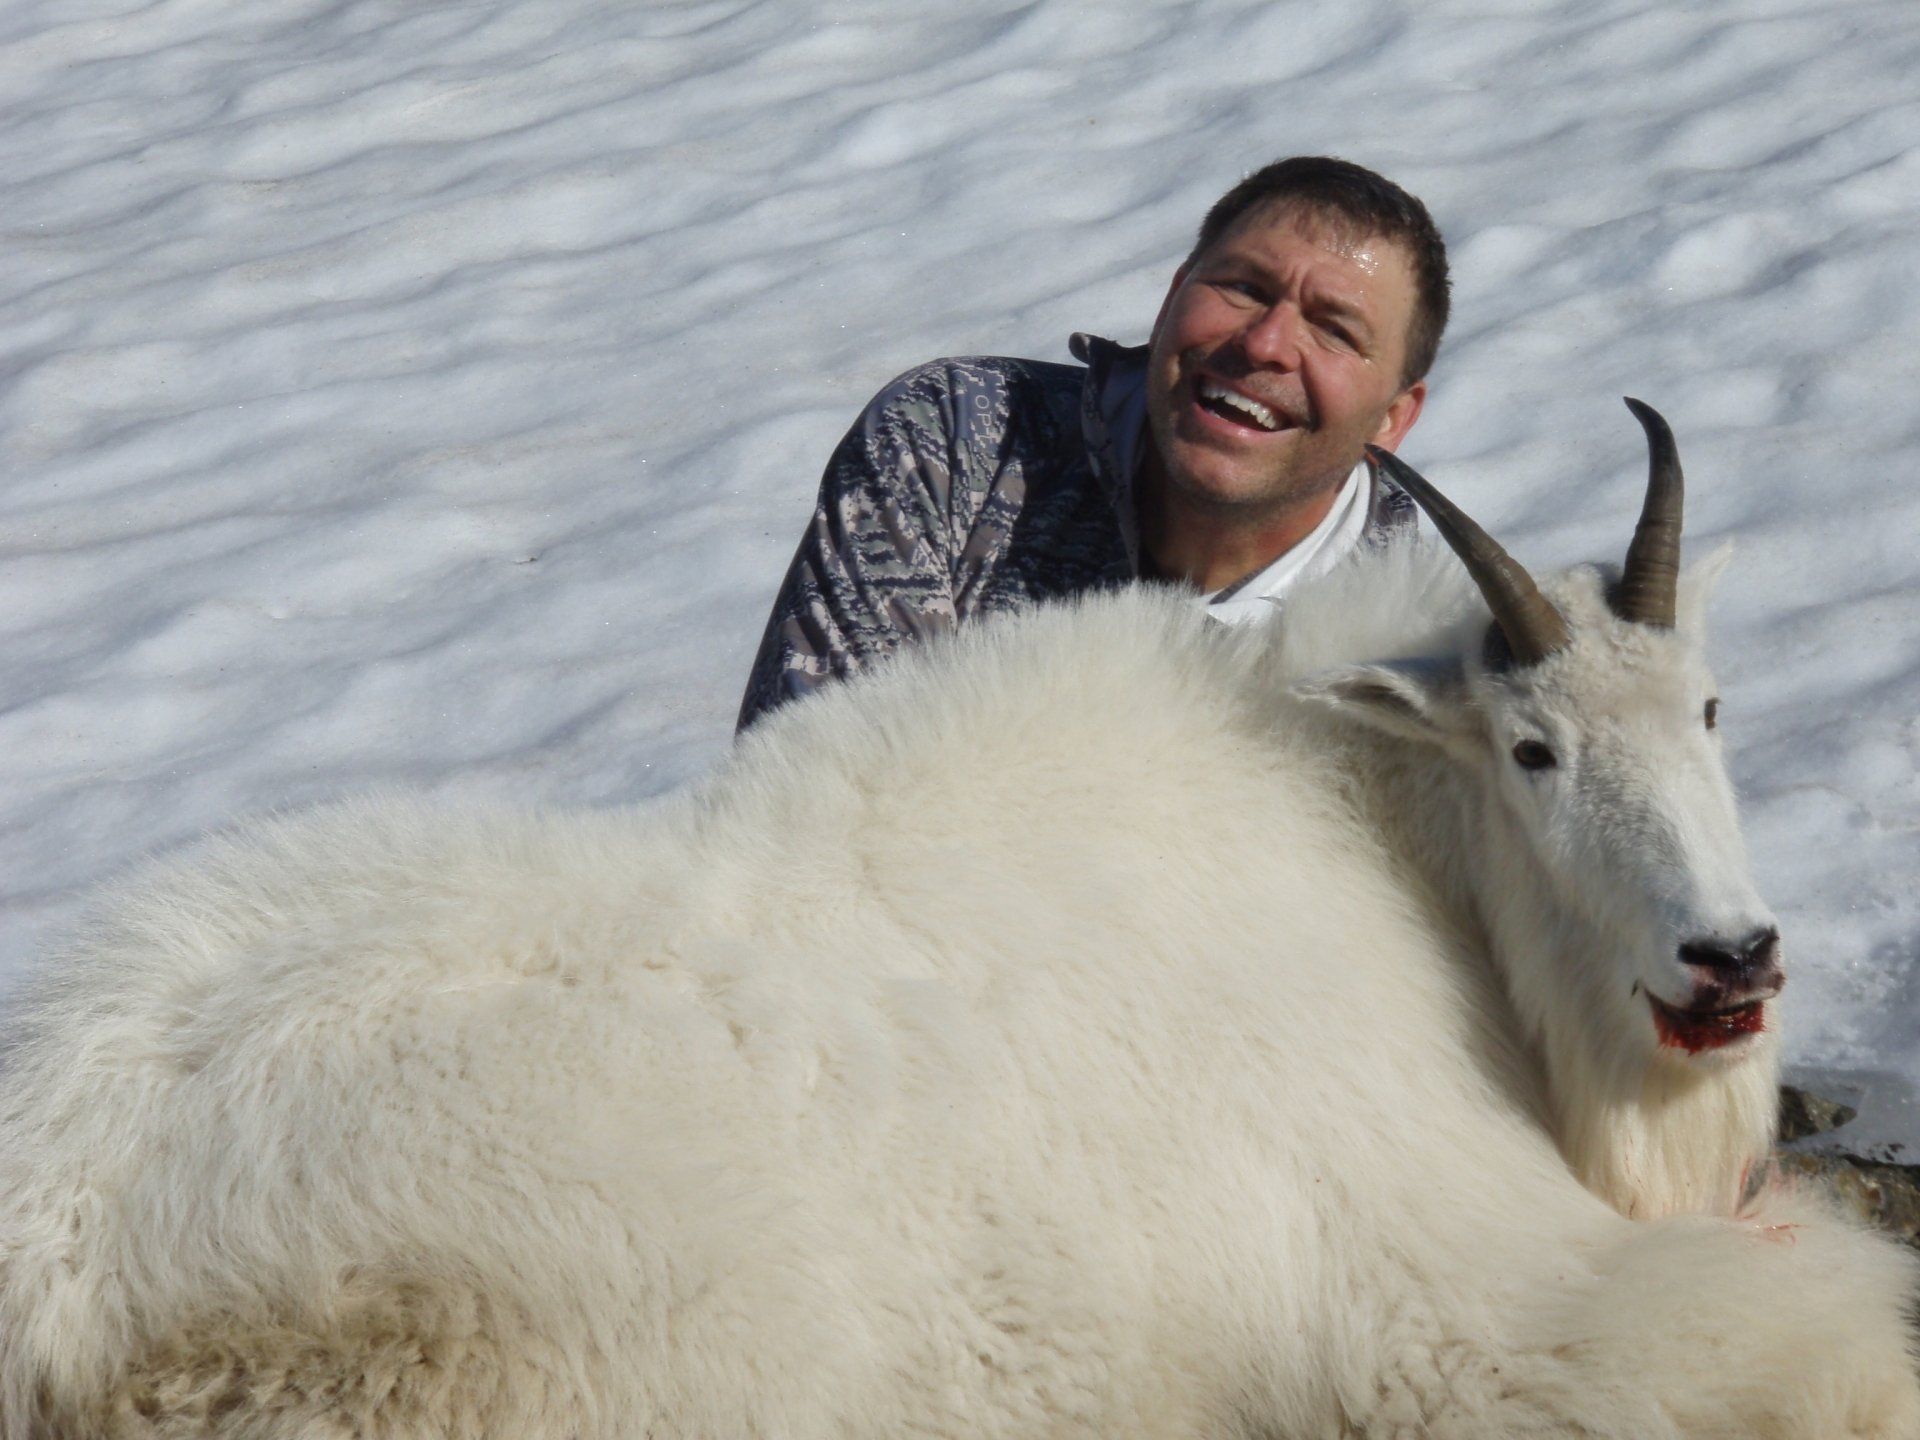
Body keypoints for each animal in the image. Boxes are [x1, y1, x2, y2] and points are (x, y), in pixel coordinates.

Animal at [0, 404, 1913, 1438]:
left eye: (1715, 707)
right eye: (1533, 749)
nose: (1733, 961)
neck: (1395, 861)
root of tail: (51, 1253)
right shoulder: (1450, 1316)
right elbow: (1832, 1328)